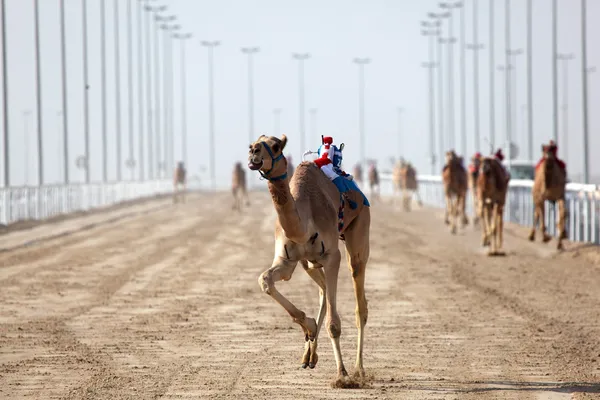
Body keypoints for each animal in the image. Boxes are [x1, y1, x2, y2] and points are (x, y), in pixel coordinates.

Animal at [247, 134, 370, 388]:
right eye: (253, 143)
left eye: (275, 146)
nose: (253, 154)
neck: (303, 226)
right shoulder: (287, 260)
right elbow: (265, 280)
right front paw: (309, 326)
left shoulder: (332, 256)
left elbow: (334, 323)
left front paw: (342, 375)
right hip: (309, 263)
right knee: (323, 291)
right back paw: (309, 355)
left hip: (360, 228)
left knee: (359, 300)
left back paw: (359, 370)